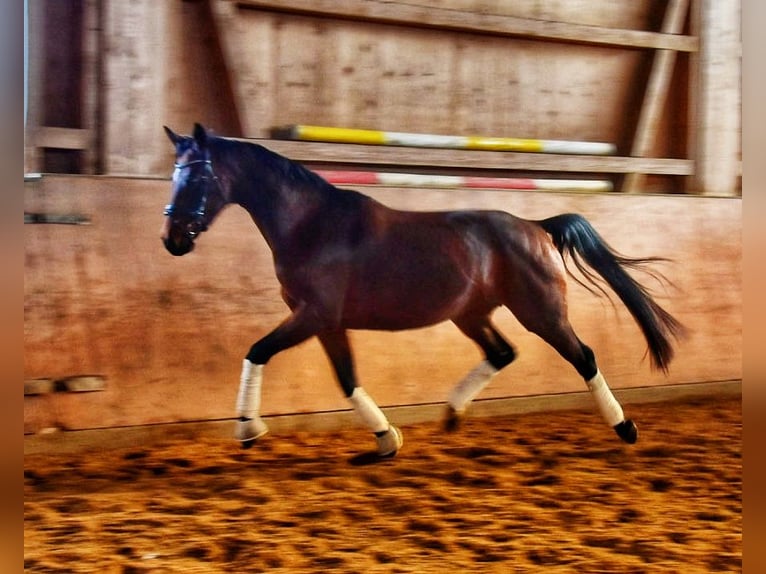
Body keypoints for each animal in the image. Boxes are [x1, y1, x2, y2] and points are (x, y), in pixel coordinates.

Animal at [160, 125, 684, 460]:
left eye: (198, 175)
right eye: (173, 173)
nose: (173, 239)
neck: (312, 224)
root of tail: (536, 228)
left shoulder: (313, 316)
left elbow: (257, 350)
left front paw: (248, 429)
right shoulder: (326, 323)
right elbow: (346, 379)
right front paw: (386, 440)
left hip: (542, 313)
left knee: (584, 357)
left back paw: (625, 427)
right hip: (471, 314)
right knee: (503, 352)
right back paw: (451, 414)